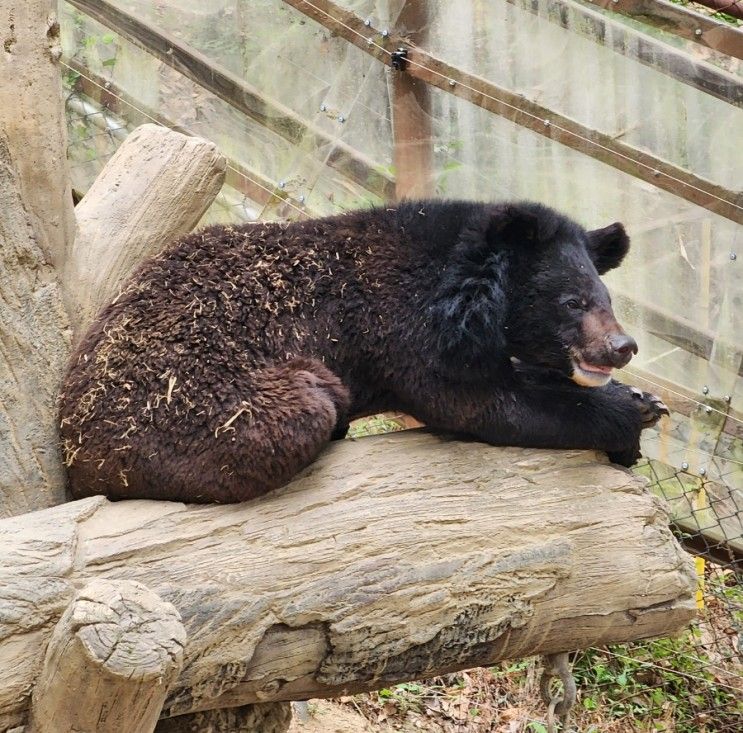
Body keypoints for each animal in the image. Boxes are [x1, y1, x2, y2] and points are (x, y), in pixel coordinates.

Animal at [59, 200, 668, 504]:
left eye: (607, 299)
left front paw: (646, 400)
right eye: (572, 302)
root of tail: (73, 449)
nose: (623, 347)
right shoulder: (408, 334)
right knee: (302, 409)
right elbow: (487, 406)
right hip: (215, 408)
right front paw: (628, 418)